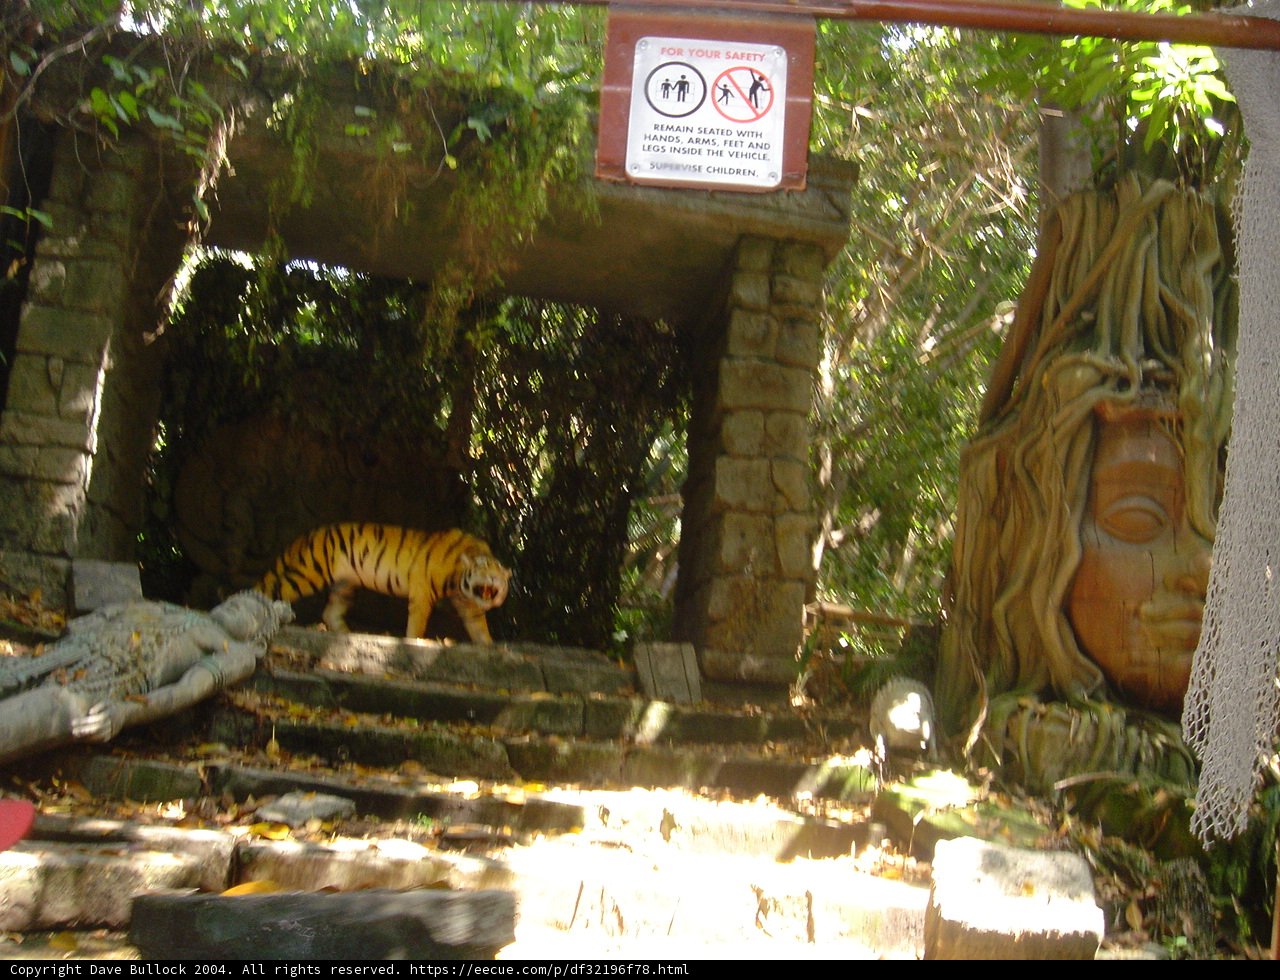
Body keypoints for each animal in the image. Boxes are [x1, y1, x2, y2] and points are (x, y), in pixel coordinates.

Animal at [255, 523, 511, 644]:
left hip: (345, 585)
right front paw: (413, 641)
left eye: (499, 574)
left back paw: (348, 636)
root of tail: (307, 535)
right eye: (484, 570)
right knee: (271, 589)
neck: (459, 582)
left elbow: (480, 631)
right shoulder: (422, 591)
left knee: (330, 612)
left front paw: (490, 647)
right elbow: (417, 622)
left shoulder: (470, 606)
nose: (494, 580)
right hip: (308, 574)